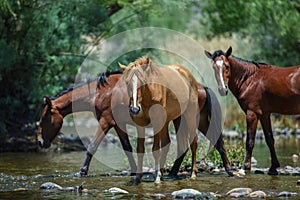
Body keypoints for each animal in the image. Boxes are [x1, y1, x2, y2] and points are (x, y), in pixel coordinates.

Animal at [204, 46, 300, 174]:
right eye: (214, 68)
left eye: (227, 66)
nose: (222, 90)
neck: (250, 79)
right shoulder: (265, 114)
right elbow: (270, 139)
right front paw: (273, 167)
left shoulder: (252, 113)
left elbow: (249, 141)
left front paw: (246, 166)